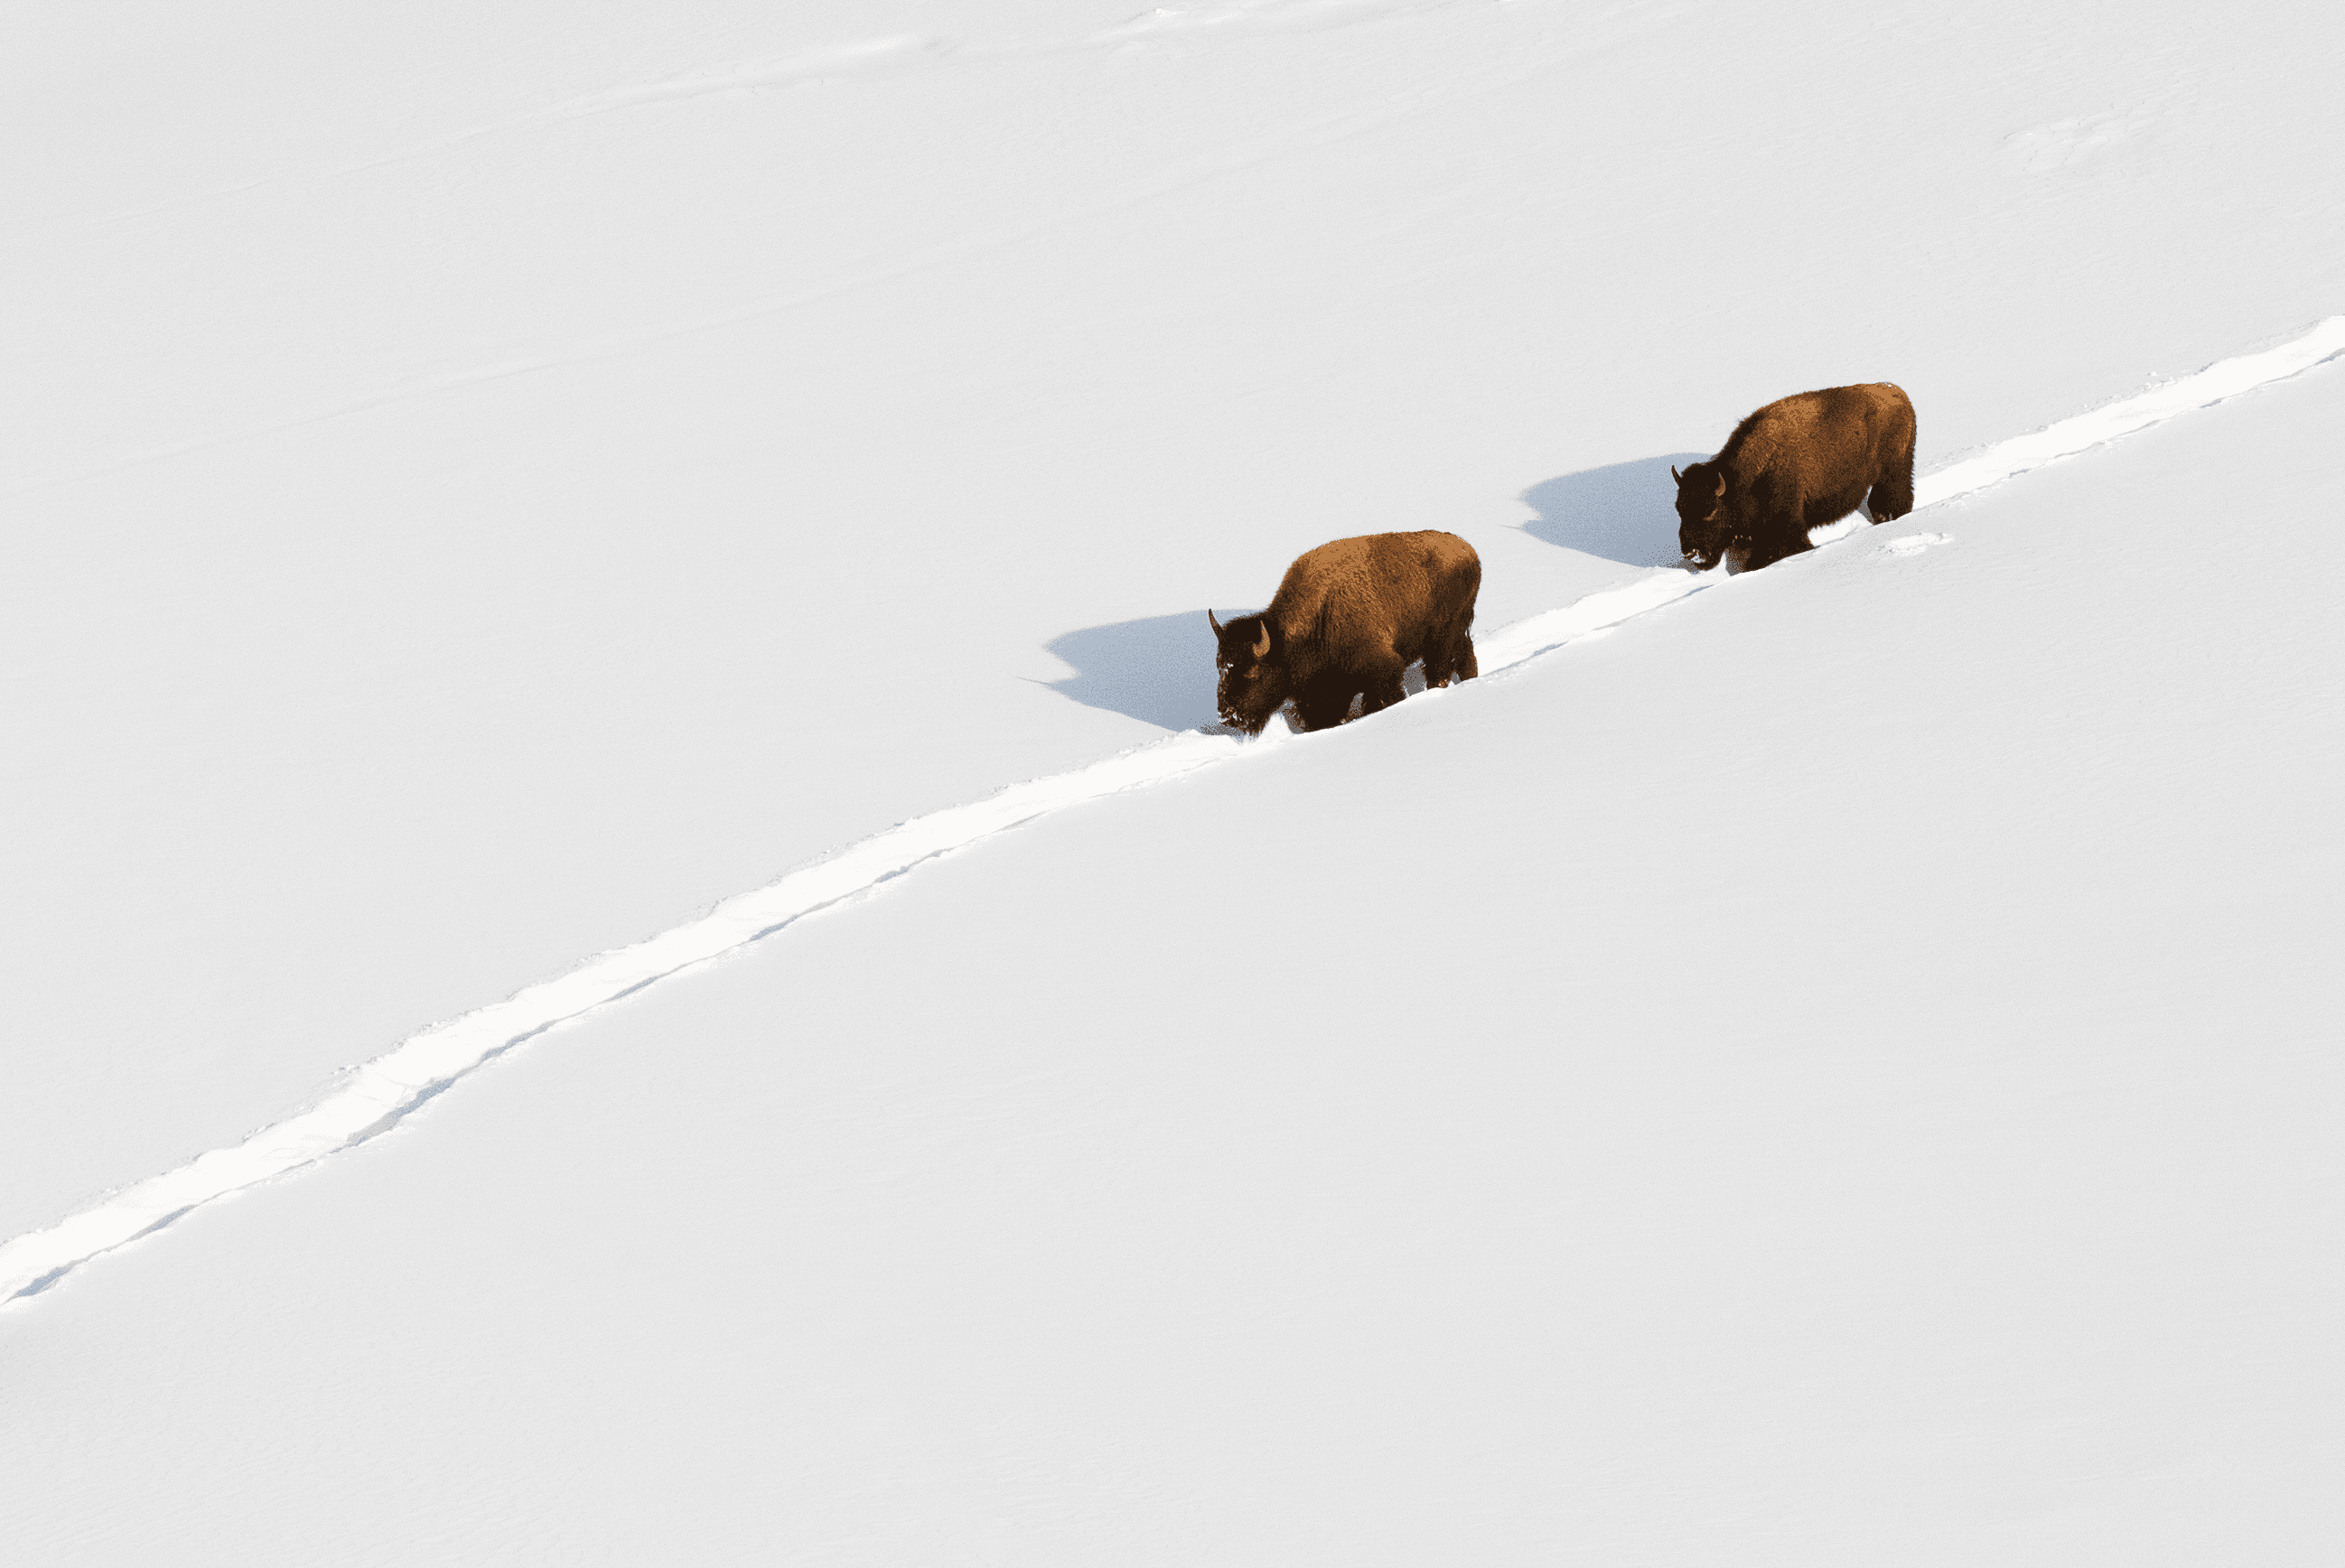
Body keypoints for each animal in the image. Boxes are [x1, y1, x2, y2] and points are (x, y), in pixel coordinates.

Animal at [1208, 531, 1481, 734]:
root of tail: (1468, 550)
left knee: (1439, 671)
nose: (1226, 714)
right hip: (1458, 634)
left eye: (1253, 673)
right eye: (1220, 667)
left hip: (1443, 637)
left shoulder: (1384, 670)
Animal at [1674, 383, 1917, 572]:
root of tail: (1899, 394)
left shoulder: (1785, 526)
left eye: (1711, 512)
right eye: (1679, 510)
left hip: (1893, 473)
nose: (1691, 553)